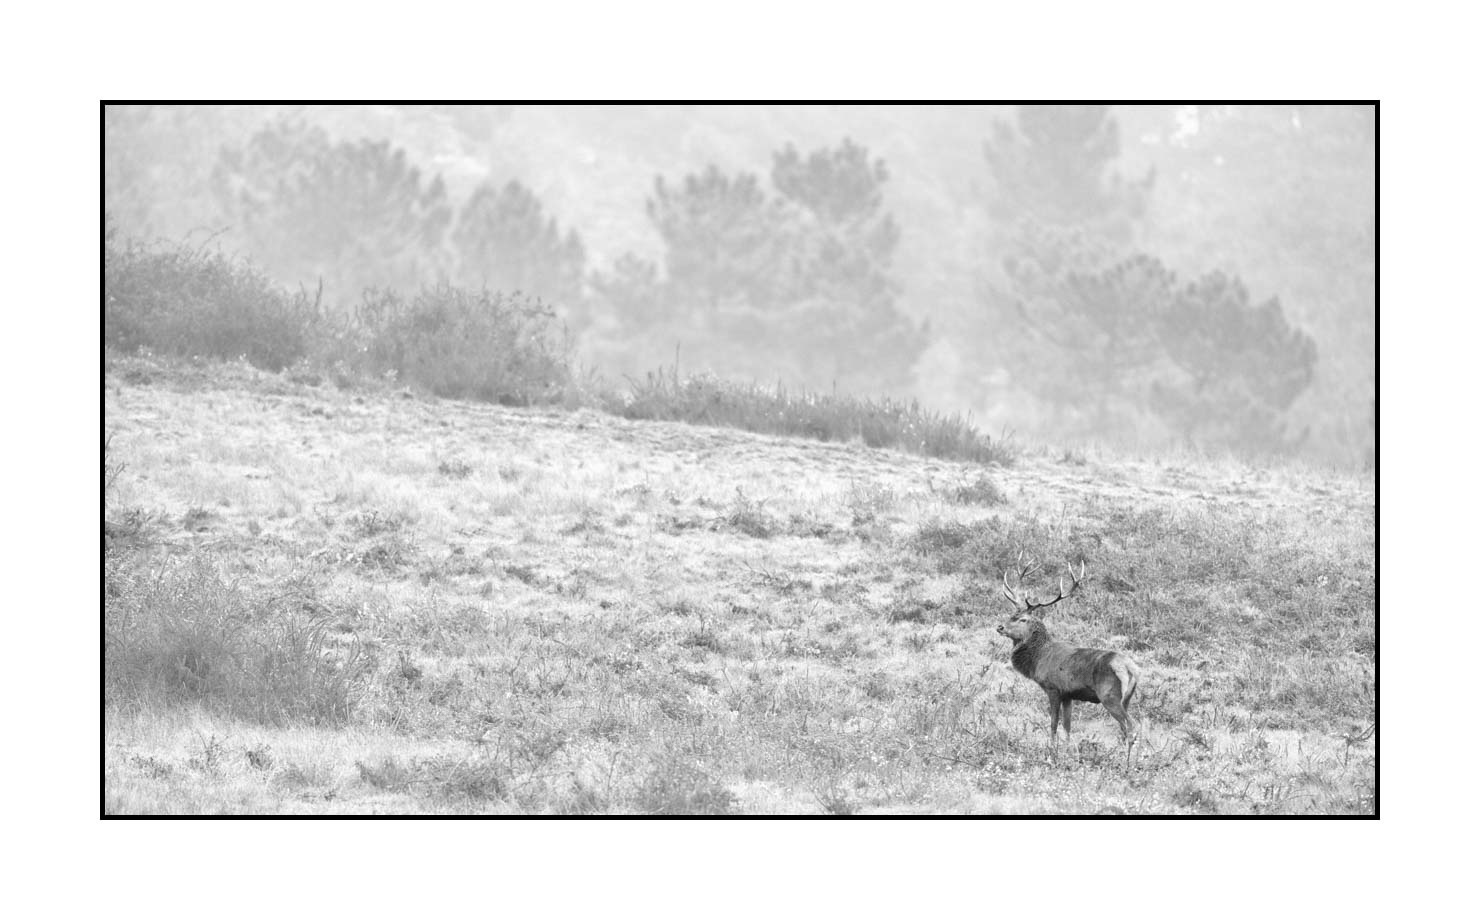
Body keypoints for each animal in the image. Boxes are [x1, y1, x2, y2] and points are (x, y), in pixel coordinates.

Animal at [996, 555, 1141, 770]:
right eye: (1010, 614)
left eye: (1022, 619)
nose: (1000, 627)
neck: (1038, 659)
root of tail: (1131, 669)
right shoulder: (1068, 695)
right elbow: (1068, 727)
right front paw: (1067, 754)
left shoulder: (1053, 688)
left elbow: (1053, 724)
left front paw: (1051, 755)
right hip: (1127, 698)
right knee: (1125, 729)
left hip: (1109, 696)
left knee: (1131, 727)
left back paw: (1127, 764)